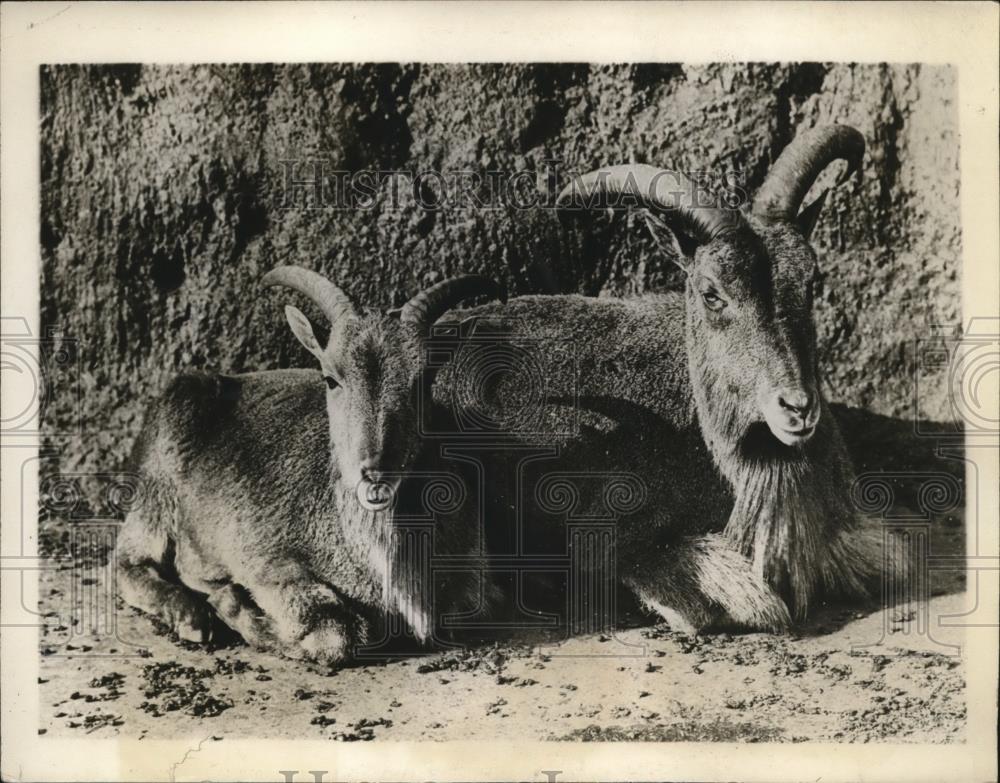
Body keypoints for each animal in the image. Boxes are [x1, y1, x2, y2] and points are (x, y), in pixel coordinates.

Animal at [115, 269, 505, 665]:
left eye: (424, 380)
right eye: (330, 378)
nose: (375, 471)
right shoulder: (270, 564)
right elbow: (335, 631)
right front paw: (229, 601)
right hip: (156, 494)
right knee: (130, 563)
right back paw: (192, 617)